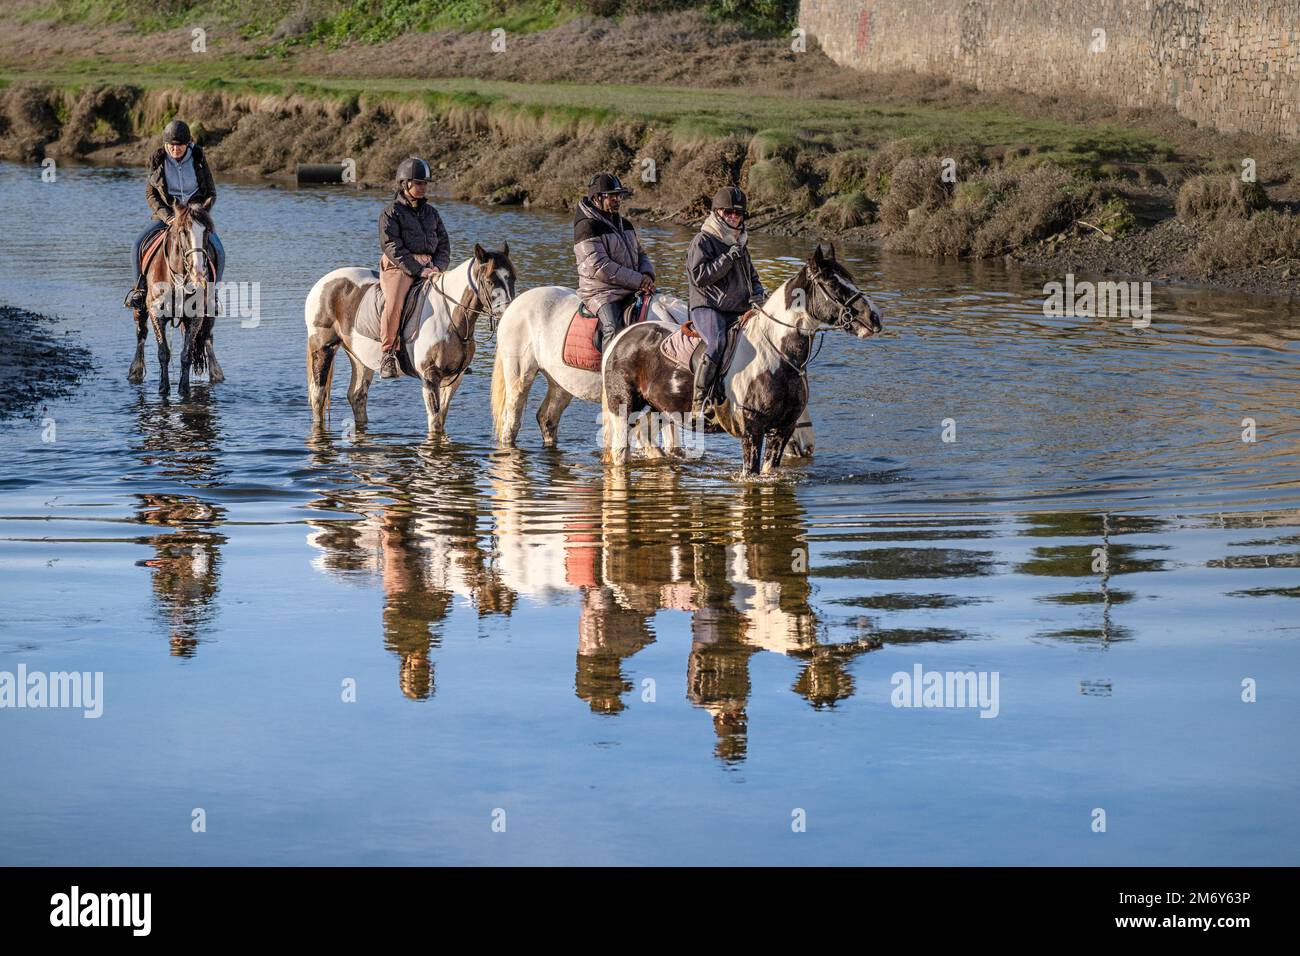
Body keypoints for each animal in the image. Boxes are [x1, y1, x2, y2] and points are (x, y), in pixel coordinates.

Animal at [127, 203, 224, 396]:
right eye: (183, 231)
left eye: (207, 231)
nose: (198, 272)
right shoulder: (156, 314)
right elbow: (163, 352)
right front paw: (163, 389)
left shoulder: (195, 316)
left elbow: (186, 354)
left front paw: (183, 389)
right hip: (140, 307)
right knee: (141, 334)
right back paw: (135, 371)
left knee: (207, 337)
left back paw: (216, 373)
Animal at [305, 243, 516, 434]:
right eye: (489, 281)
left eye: (513, 277)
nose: (508, 314)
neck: (449, 316)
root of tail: (324, 282)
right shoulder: (430, 376)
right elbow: (435, 422)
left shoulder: (455, 378)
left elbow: (441, 418)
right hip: (323, 349)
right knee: (318, 397)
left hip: (359, 357)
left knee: (357, 396)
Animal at [490, 289, 817, 457]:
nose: (807, 446)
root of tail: (516, 304)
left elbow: (671, 445)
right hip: (520, 375)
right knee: (511, 421)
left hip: (560, 384)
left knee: (547, 418)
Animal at [600, 243, 882, 475]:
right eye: (834, 285)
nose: (874, 318)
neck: (776, 356)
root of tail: (622, 336)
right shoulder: (752, 431)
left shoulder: (783, 429)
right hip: (622, 408)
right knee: (620, 452)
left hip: (658, 409)